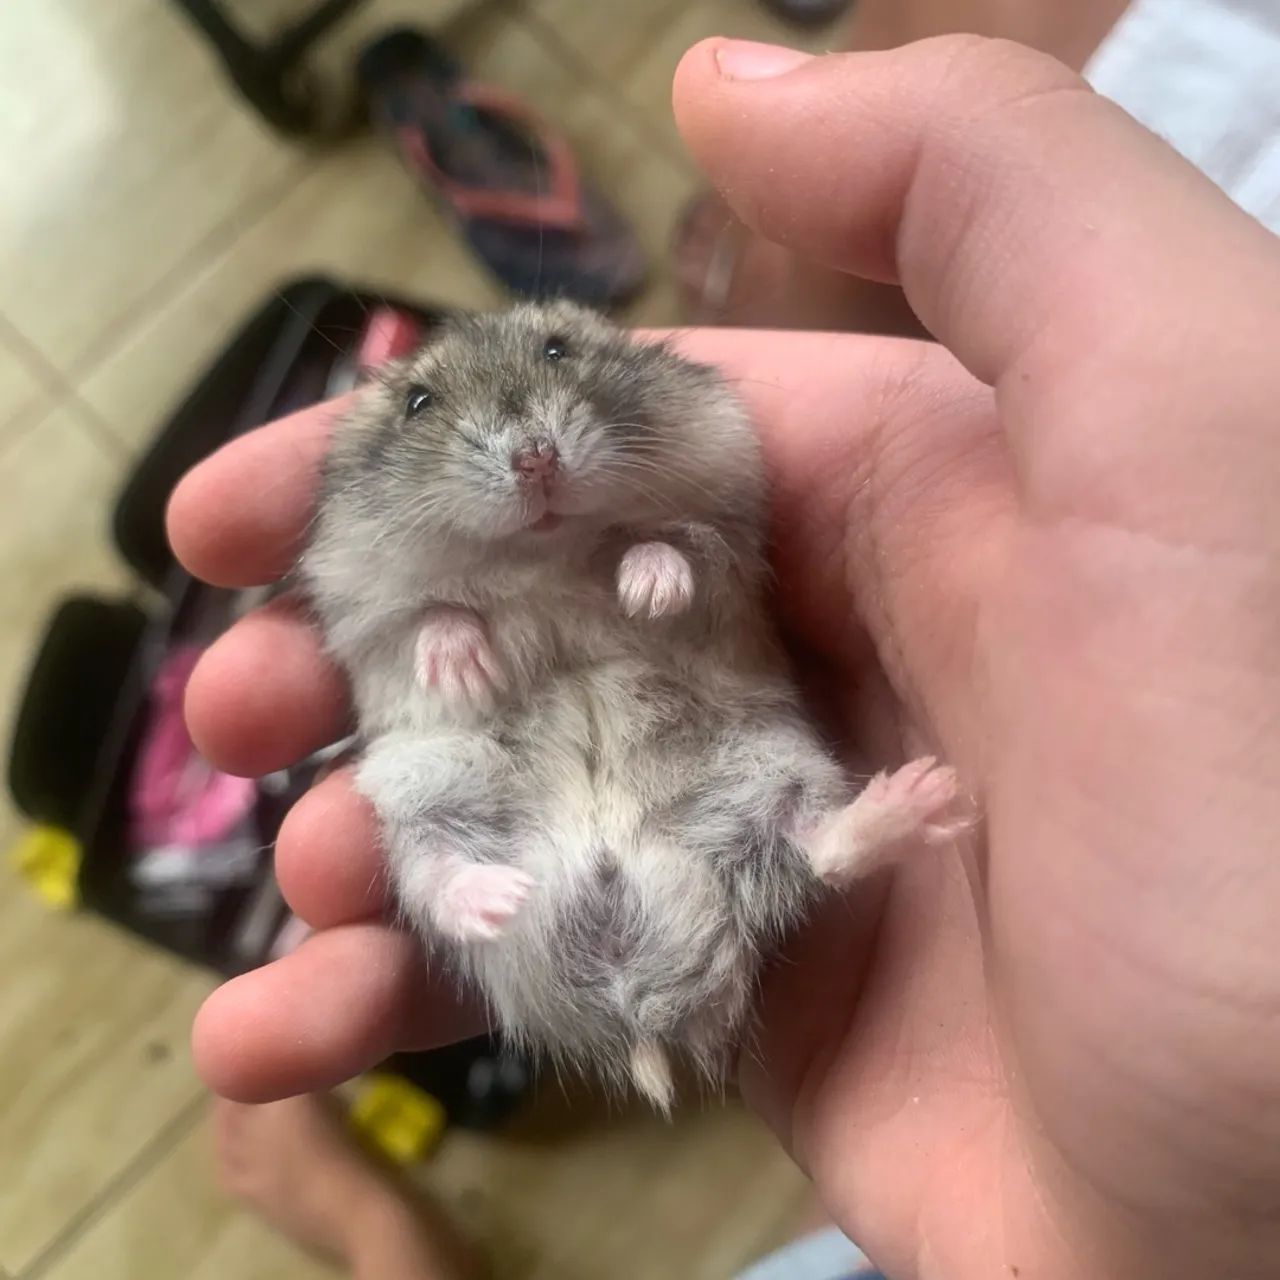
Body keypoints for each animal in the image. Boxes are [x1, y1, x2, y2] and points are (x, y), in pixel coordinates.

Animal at [301, 301, 960, 1110]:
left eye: (558, 350)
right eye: (418, 404)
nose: (536, 458)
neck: (545, 552)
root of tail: (635, 1006)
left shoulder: (730, 548)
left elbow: (676, 550)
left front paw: (645, 593)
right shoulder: (363, 619)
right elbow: (432, 618)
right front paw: (464, 672)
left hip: (774, 773)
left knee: (824, 851)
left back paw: (925, 798)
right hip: (424, 799)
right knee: (436, 880)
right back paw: (498, 898)